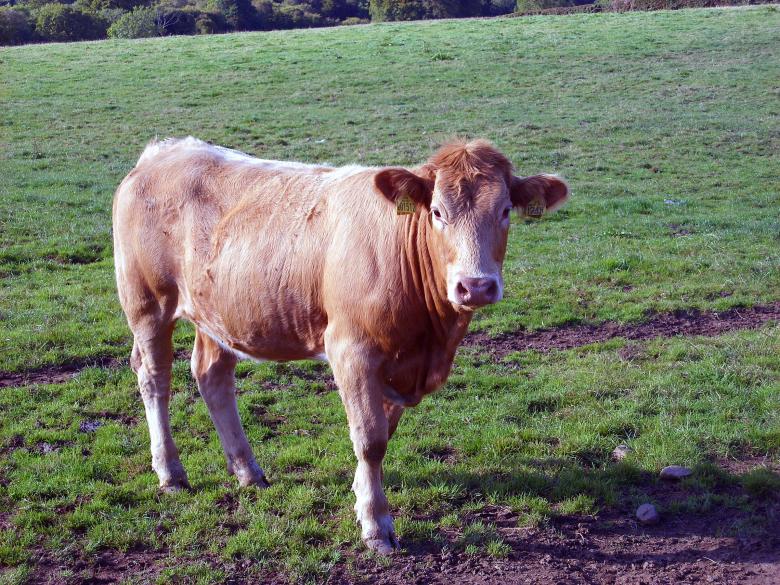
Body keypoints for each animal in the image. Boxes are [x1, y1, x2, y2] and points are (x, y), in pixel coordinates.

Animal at [112, 137, 569, 554]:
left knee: (212, 376)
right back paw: (171, 473)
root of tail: (165, 150)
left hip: (217, 312)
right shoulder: (351, 350)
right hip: (147, 303)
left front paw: (361, 494)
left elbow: (384, 431)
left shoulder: (398, 366)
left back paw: (248, 471)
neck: (431, 340)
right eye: (438, 212)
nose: (475, 286)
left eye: (505, 211)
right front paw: (376, 525)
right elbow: (370, 438)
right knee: (155, 379)